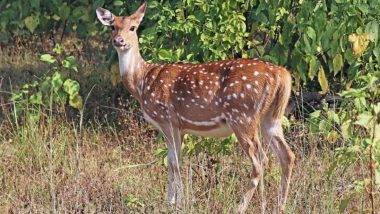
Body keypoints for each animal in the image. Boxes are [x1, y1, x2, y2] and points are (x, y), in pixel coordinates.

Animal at [96, 2, 296, 213]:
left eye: (133, 28)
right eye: (112, 27)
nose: (119, 40)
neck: (141, 82)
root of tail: (282, 74)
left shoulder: (167, 119)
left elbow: (175, 163)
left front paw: (180, 203)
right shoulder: (179, 127)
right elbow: (171, 161)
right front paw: (170, 202)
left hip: (242, 116)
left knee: (261, 161)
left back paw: (239, 207)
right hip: (271, 118)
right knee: (287, 155)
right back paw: (279, 206)